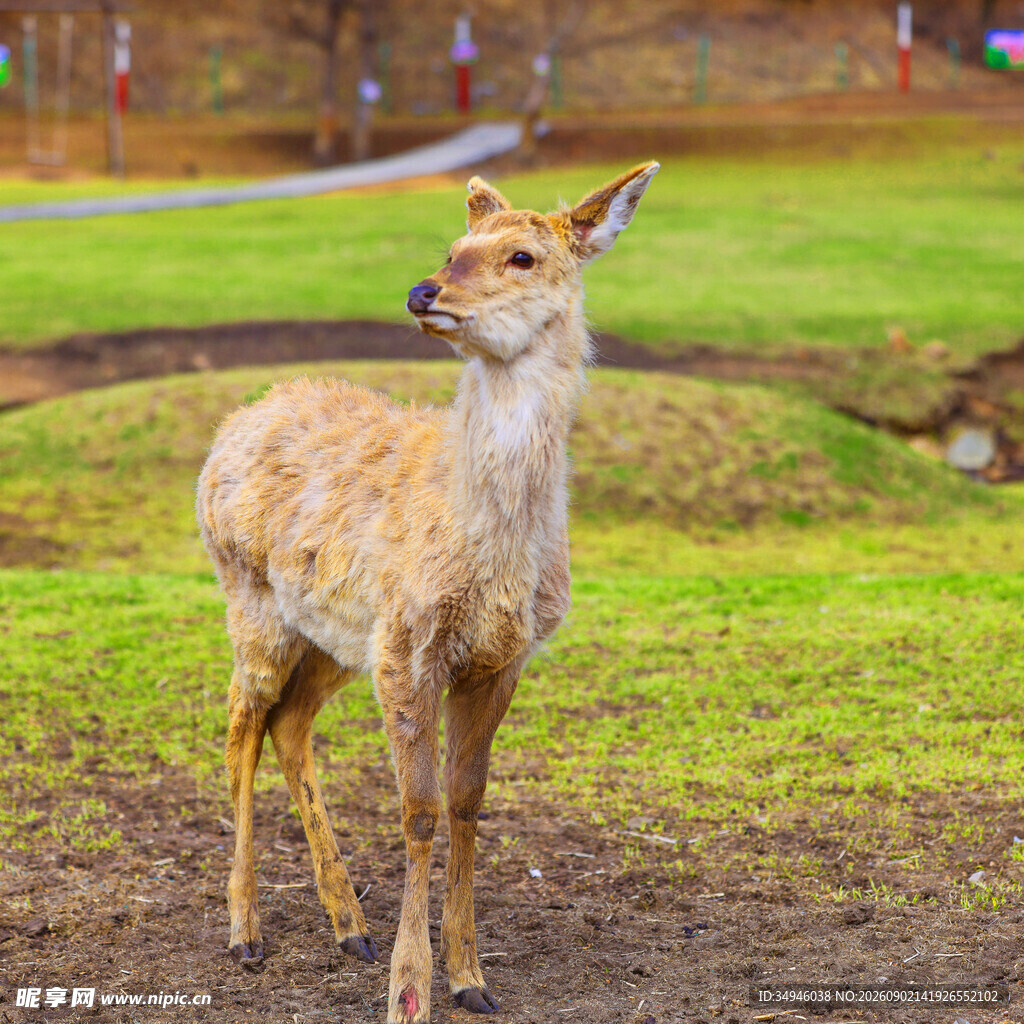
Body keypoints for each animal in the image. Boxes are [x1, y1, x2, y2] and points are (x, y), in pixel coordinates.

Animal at [195, 160, 659, 1023]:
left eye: (521, 256)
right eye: (453, 248)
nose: (422, 291)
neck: (491, 557)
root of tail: (233, 426)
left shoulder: (498, 656)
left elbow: (468, 800)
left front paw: (472, 978)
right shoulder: (411, 643)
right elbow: (419, 811)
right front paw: (408, 993)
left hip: (336, 637)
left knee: (289, 723)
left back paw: (349, 924)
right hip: (251, 597)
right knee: (241, 722)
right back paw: (245, 933)